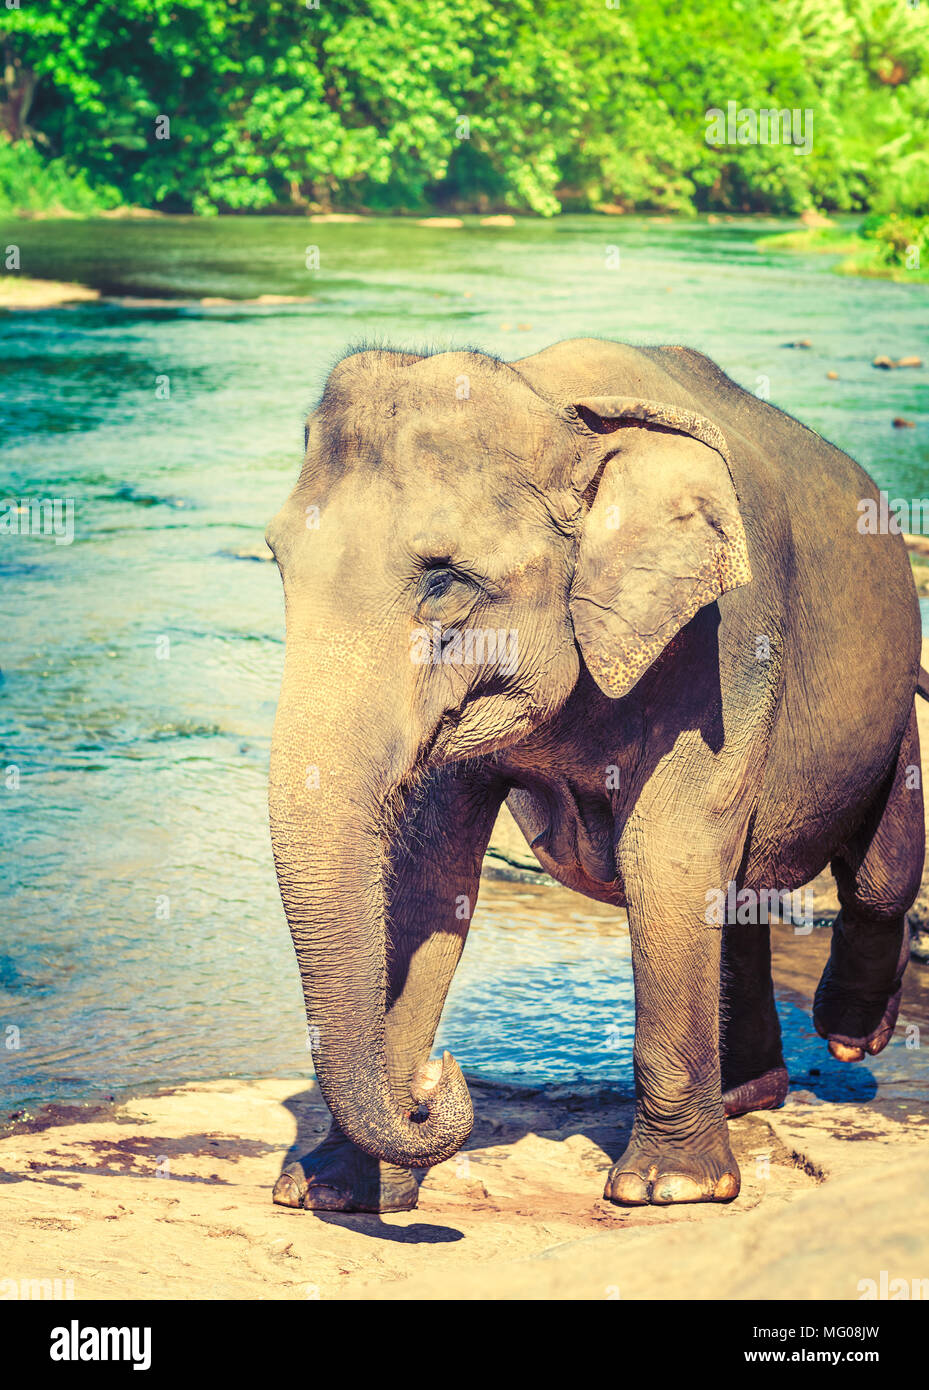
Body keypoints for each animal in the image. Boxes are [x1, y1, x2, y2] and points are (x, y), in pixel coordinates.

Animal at [264, 333, 923, 1206]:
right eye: (277, 560)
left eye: (443, 579)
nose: (438, 1081)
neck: (554, 403)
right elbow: (427, 870)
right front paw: (328, 1191)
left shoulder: (721, 640)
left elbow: (665, 854)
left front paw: (668, 1190)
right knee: (741, 894)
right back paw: (747, 1095)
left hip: (894, 689)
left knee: (879, 871)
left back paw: (848, 1039)